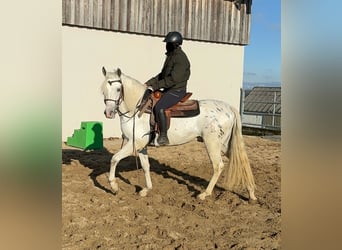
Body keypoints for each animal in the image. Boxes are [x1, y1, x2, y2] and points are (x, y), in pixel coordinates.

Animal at [100, 67, 255, 202]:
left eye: (118, 89)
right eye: (103, 90)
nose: (108, 113)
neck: (138, 109)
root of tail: (229, 108)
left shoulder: (134, 143)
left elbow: (114, 159)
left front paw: (113, 186)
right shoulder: (141, 146)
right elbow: (145, 166)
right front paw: (146, 189)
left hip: (212, 143)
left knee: (218, 166)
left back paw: (205, 194)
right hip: (224, 144)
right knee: (241, 161)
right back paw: (251, 193)